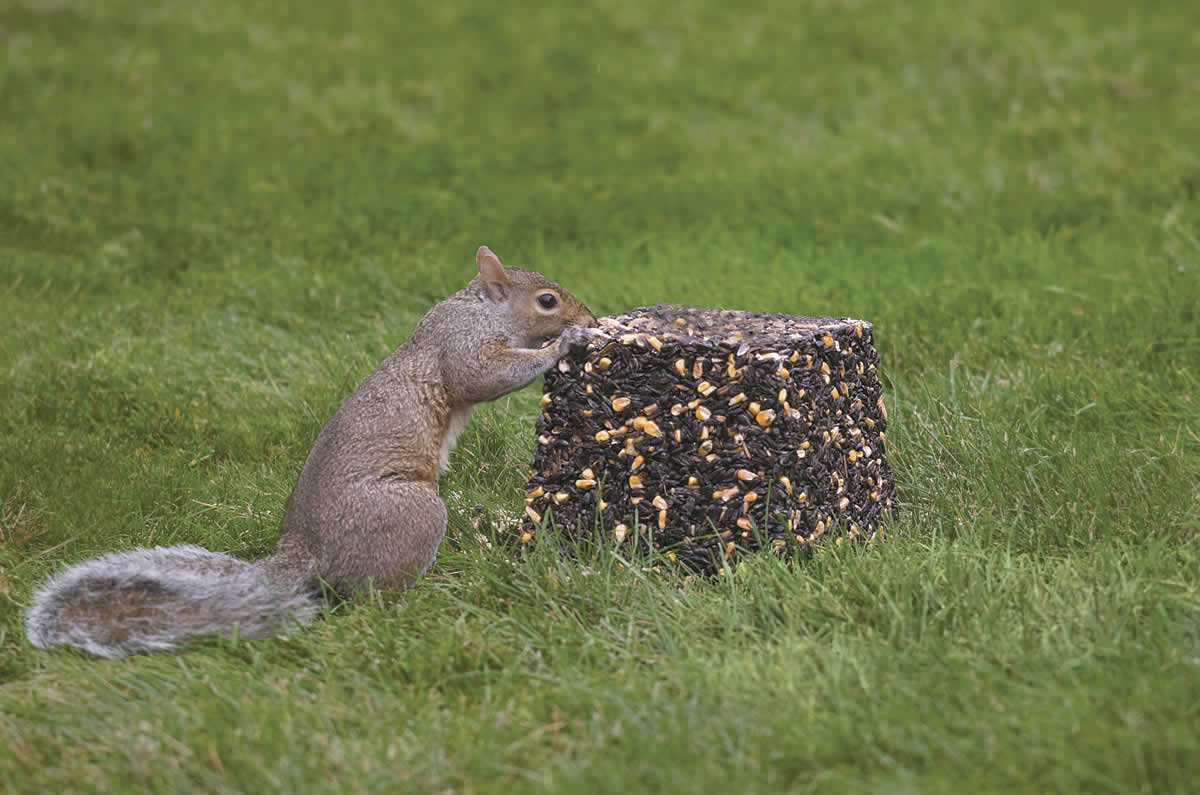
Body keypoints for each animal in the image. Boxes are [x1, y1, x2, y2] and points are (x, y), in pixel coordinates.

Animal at [25, 246, 600, 658]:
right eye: (547, 300)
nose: (593, 317)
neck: (478, 307)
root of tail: (307, 551)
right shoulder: (460, 347)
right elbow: (480, 377)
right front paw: (561, 344)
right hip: (407, 515)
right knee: (374, 596)